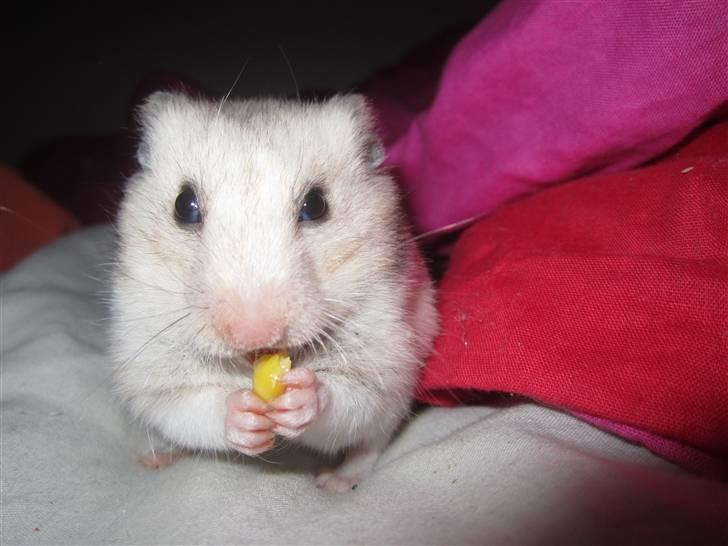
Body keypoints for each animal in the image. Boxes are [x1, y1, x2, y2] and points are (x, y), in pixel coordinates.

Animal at [109, 91, 438, 492]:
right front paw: (242, 413)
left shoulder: (382, 356)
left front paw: (301, 400)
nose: (254, 335)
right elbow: (189, 407)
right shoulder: (151, 366)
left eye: (315, 205)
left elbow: (349, 399)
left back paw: (335, 482)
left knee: (367, 448)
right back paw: (155, 460)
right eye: (183, 206)